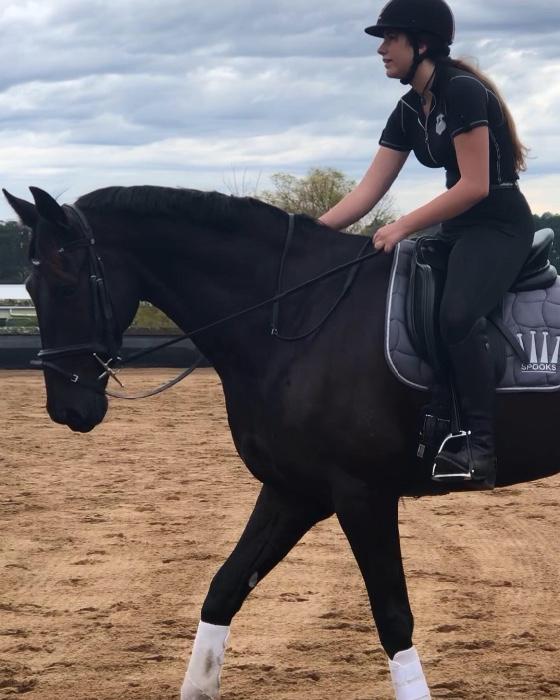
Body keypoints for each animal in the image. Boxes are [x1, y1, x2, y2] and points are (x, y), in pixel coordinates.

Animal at [4, 185, 559, 700]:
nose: (67, 408)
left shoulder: (363, 495)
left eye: (66, 283)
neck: (297, 315)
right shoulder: (293, 490)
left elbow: (393, 618)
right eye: (28, 285)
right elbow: (224, 588)